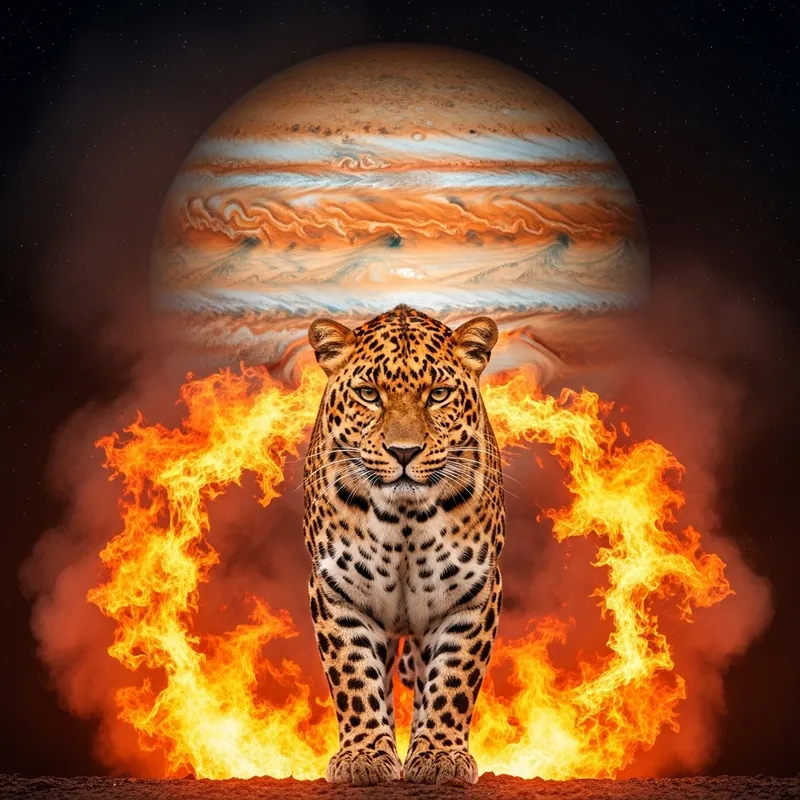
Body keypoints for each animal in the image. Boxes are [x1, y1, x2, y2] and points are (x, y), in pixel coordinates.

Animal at [302, 304, 505, 786]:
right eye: (369, 394)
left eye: (439, 395)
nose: (404, 452)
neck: (405, 518)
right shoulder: (337, 592)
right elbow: (355, 677)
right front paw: (363, 757)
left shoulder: (473, 594)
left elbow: (453, 679)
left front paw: (440, 756)